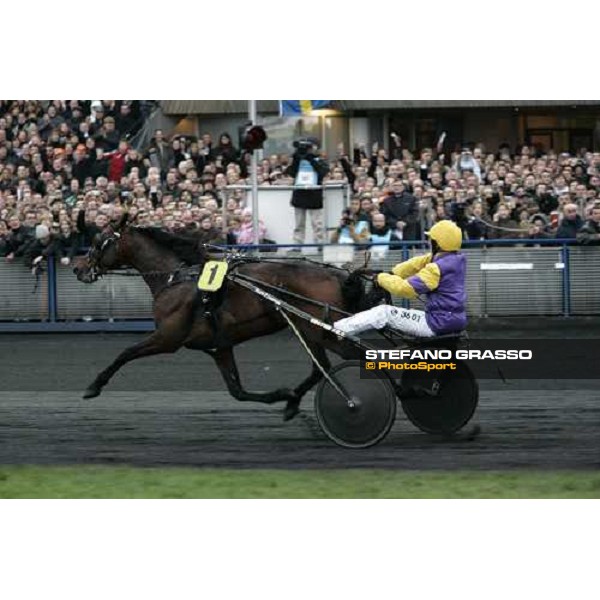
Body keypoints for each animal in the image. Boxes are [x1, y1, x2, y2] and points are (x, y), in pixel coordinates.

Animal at [72, 223, 368, 420]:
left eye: (100, 242)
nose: (77, 268)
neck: (176, 278)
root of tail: (338, 276)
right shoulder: (219, 346)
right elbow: (237, 391)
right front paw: (285, 395)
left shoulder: (167, 339)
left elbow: (125, 353)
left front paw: (93, 386)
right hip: (309, 331)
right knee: (320, 368)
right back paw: (293, 403)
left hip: (325, 332)